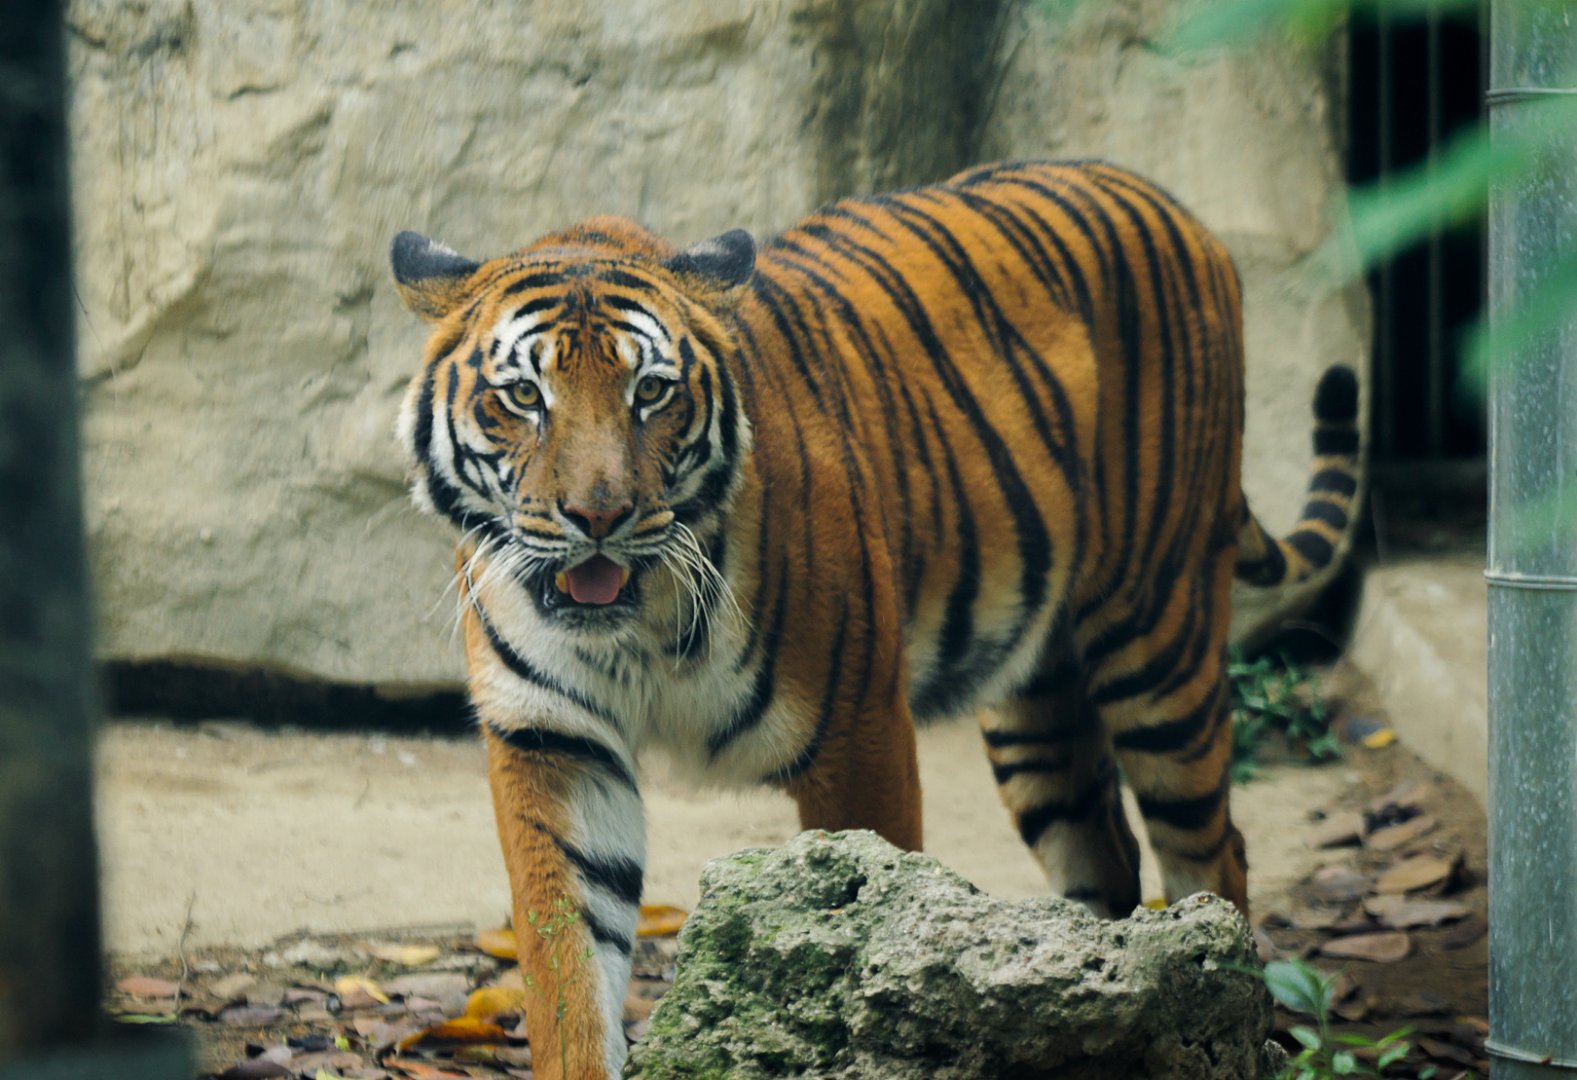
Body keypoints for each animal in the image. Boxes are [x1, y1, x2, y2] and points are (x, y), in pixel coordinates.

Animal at [389, 160, 1360, 1080]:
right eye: (524, 396)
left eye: (652, 392)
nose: (599, 516)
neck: (640, 630)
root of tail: (1174, 206)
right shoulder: (552, 742)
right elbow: (568, 970)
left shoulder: (854, 730)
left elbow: (865, 920)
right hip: (1034, 711)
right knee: (1103, 857)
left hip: (1158, 641)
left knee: (1214, 852)